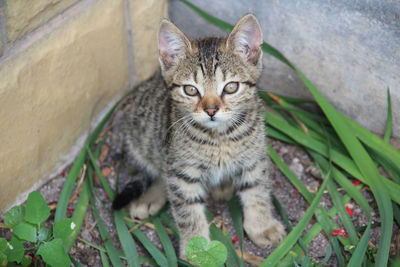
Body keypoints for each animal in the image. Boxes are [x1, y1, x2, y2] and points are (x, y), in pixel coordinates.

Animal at [112, 13, 286, 256]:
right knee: (159, 171)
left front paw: (262, 226)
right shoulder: (182, 172)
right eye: (191, 90)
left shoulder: (254, 158)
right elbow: (188, 211)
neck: (220, 137)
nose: (211, 110)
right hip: (141, 137)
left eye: (231, 87)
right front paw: (196, 248)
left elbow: (257, 192)